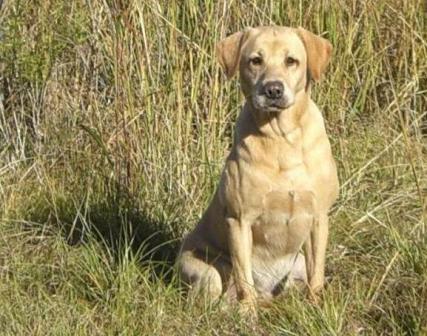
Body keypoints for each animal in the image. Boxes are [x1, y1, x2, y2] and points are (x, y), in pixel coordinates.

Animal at [176, 26, 338, 312]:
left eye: (291, 60)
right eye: (255, 60)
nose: (273, 89)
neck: (281, 139)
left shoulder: (319, 216)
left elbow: (317, 270)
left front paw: (316, 305)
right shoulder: (239, 220)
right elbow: (244, 276)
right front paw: (247, 313)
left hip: (296, 263)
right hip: (204, 268)